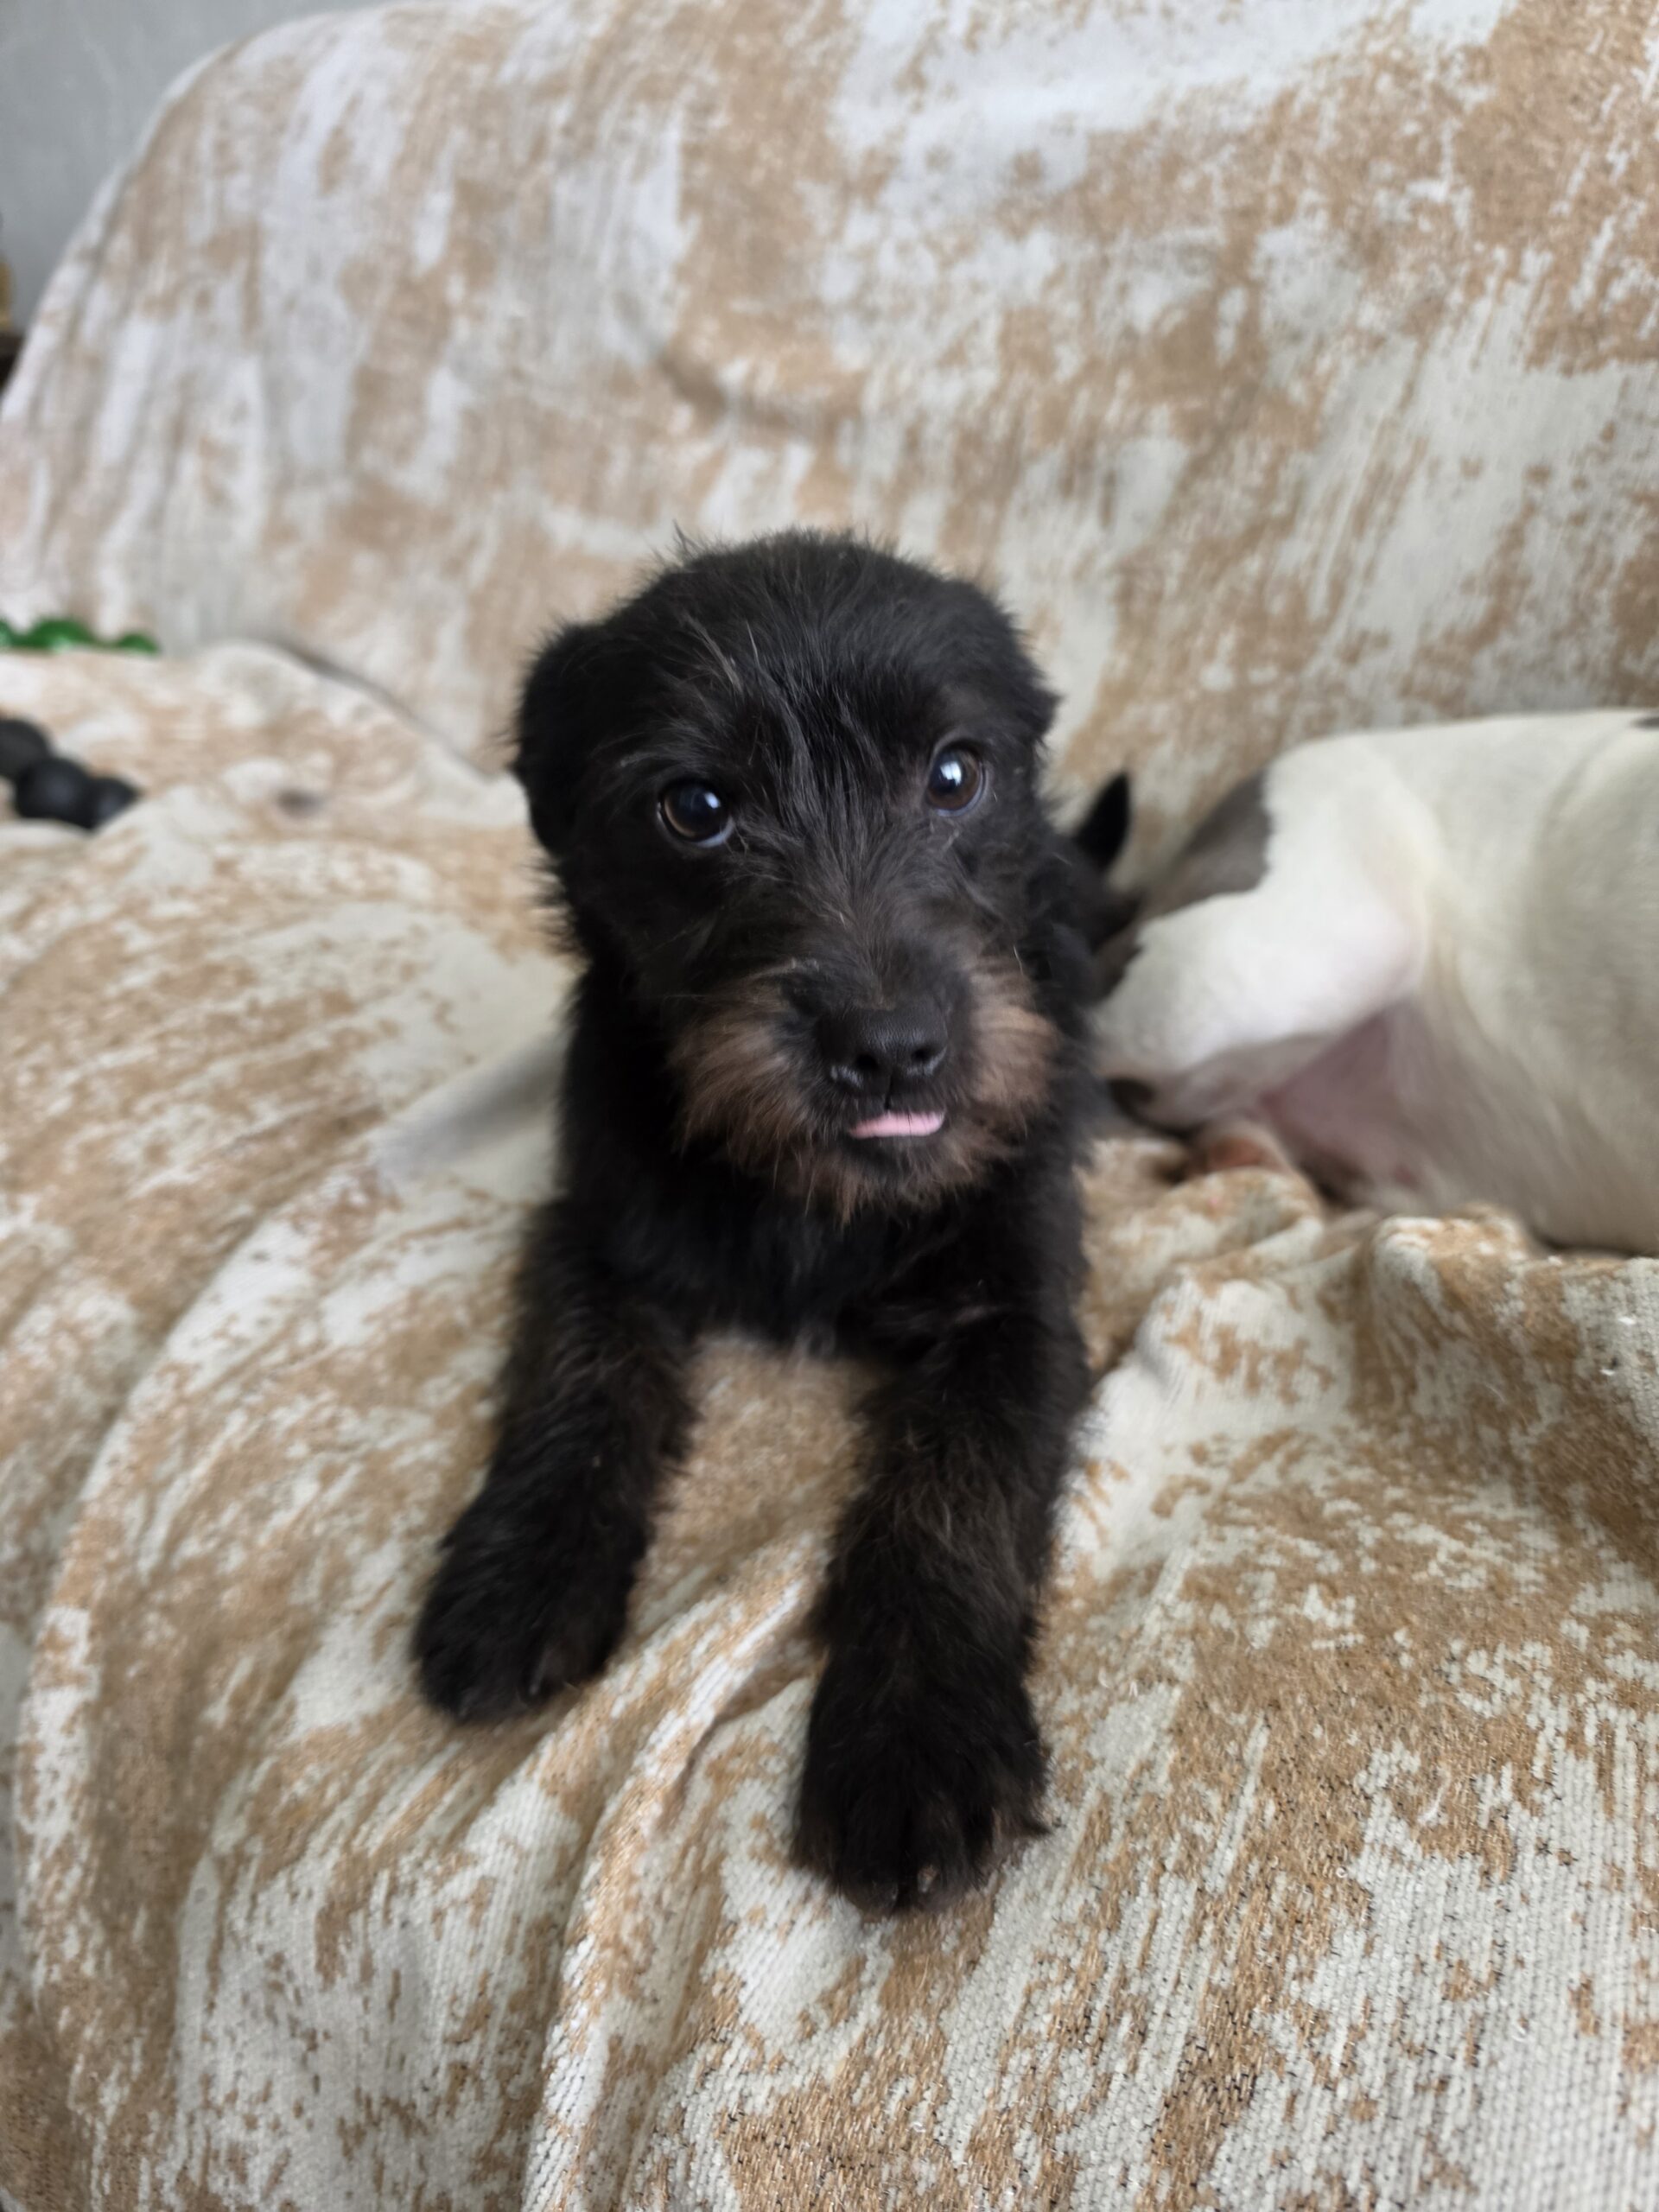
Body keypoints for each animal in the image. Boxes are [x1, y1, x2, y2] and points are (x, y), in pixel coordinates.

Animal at [415, 530, 1101, 1908]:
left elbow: (958, 1488)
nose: (892, 1049)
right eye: (696, 808)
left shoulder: (1018, 1312)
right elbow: (576, 1380)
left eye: (957, 775)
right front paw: (519, 1572)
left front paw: (918, 1734)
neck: (813, 1193)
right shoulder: (594, 1235)